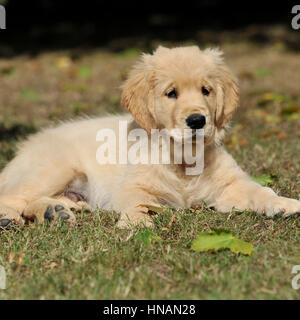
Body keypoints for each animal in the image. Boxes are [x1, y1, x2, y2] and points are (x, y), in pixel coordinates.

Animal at [0, 46, 300, 229]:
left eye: (206, 90)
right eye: (171, 93)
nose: (197, 121)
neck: (183, 160)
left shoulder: (230, 185)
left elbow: (259, 190)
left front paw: (282, 203)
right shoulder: (131, 187)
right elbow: (136, 203)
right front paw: (137, 225)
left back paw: (54, 212)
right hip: (53, 168)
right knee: (11, 197)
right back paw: (10, 218)